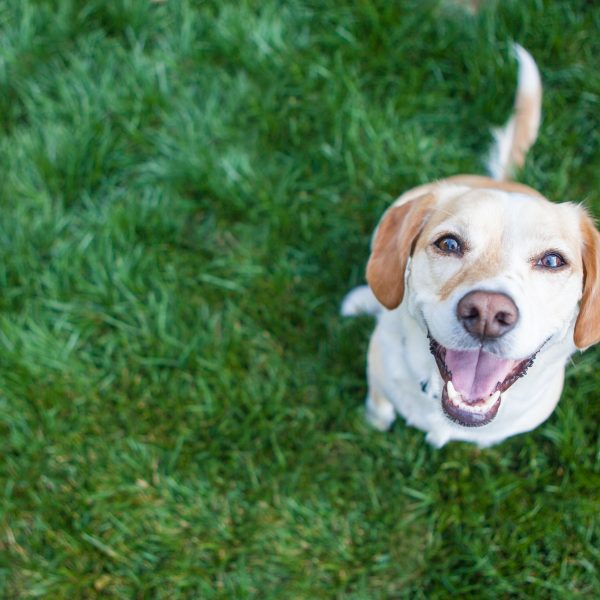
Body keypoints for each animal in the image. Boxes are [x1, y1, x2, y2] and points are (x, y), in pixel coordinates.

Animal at [342, 47, 600, 448]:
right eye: (448, 243)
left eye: (552, 260)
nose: (487, 314)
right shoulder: (379, 373)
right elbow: (379, 405)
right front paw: (375, 422)